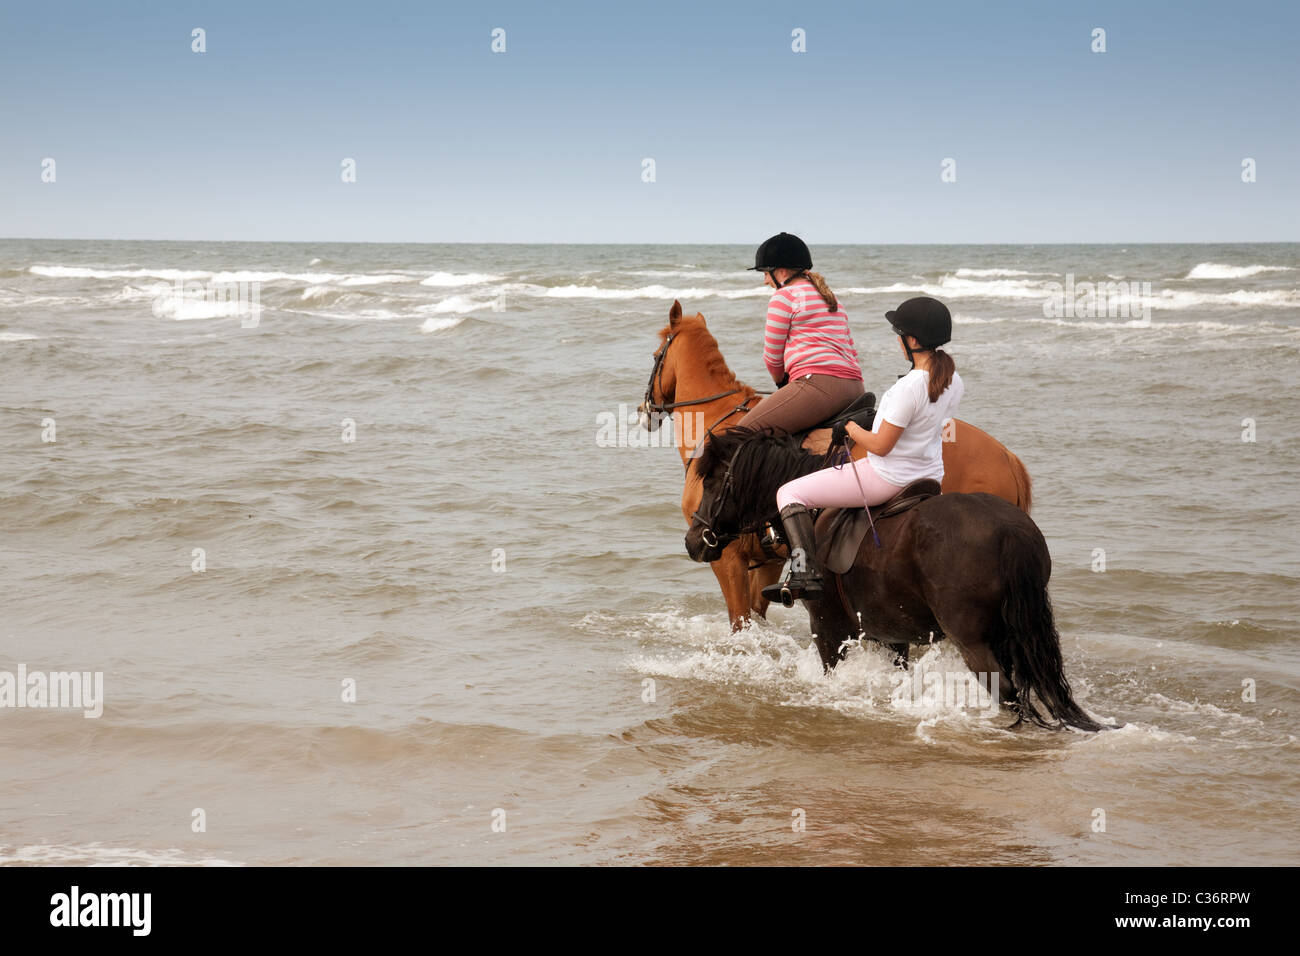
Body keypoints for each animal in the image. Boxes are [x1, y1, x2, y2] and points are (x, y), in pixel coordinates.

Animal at [640, 300, 1035, 632]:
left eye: (657, 354)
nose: (646, 410)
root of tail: (1008, 458)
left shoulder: (727, 557)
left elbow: (741, 624)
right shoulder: (765, 560)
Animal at [684, 425, 1105, 732]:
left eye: (711, 483)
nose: (693, 541)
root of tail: (1009, 530)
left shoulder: (827, 628)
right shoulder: (891, 634)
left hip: (973, 641)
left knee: (1005, 690)